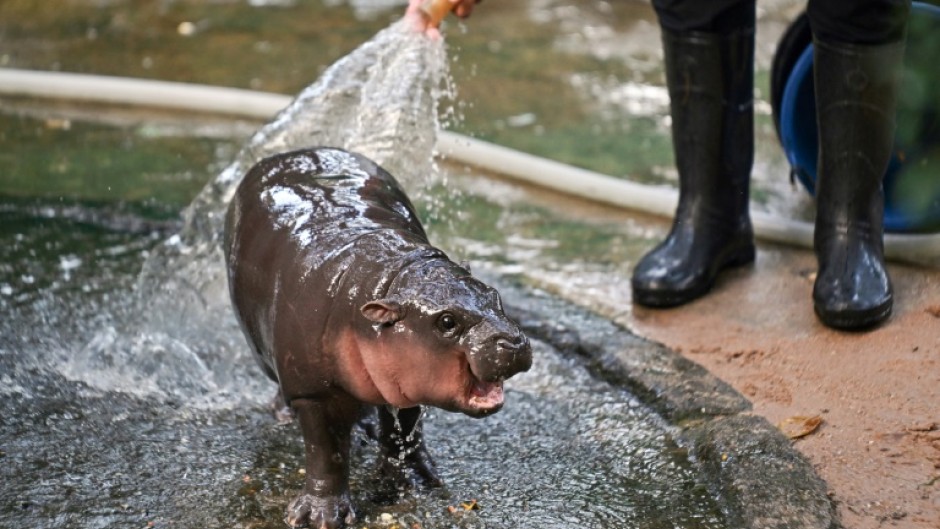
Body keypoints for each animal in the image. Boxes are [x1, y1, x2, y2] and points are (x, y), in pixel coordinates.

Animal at [220, 146, 528, 524]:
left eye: (494, 295)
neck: (390, 278)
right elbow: (326, 452)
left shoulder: (407, 379)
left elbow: (405, 431)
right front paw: (319, 517)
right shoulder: (314, 393)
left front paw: (417, 481)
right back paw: (285, 415)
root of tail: (294, 152)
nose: (514, 341)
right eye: (446, 321)